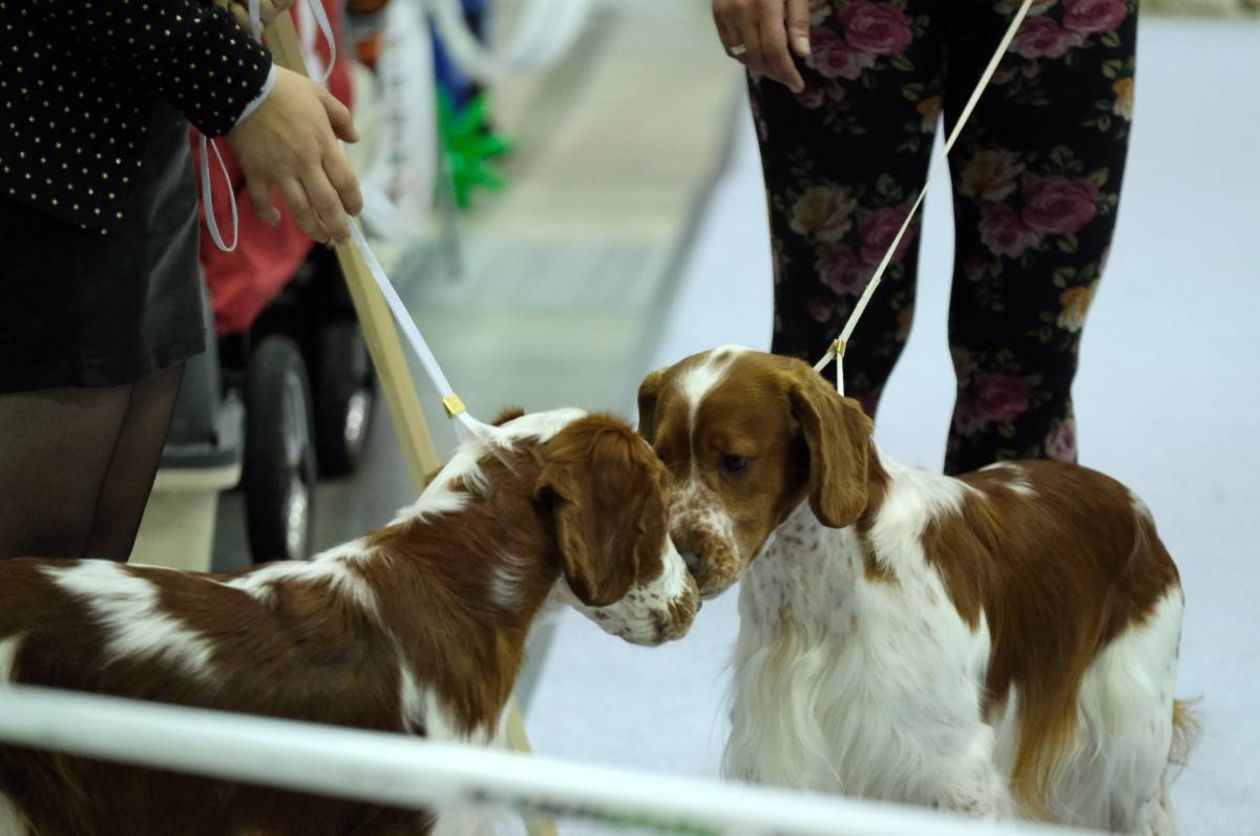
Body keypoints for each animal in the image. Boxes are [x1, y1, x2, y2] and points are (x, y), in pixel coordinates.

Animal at [635, 345, 1194, 832]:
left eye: (734, 461)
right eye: (659, 458)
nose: (681, 561)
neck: (818, 583)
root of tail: (1133, 508)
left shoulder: (955, 774)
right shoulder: (776, 756)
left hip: (1133, 745)